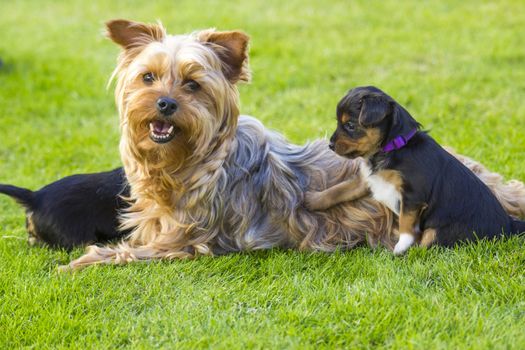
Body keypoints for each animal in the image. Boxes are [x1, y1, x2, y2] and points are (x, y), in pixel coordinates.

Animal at [302, 86, 524, 253]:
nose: (330, 145)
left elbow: (406, 225)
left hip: (439, 231)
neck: (393, 148)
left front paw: (400, 248)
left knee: (429, 244)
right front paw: (312, 200)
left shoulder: (412, 196)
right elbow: (338, 190)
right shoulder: (367, 181)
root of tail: (509, 225)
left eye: (349, 125)